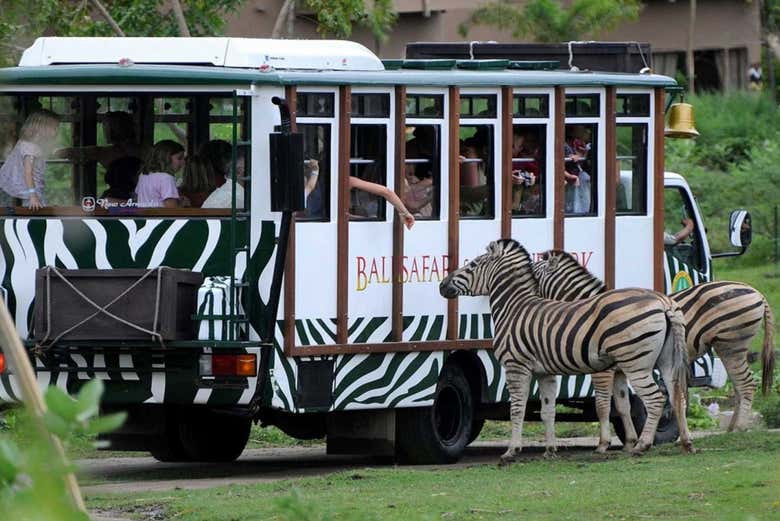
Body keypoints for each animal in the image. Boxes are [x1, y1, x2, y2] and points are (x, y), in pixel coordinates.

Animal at [438, 238, 696, 462]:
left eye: (472, 265)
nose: (442, 285)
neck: (514, 307)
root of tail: (664, 302)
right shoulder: (546, 373)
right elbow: (549, 411)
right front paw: (550, 450)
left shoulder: (516, 367)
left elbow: (518, 409)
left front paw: (511, 452)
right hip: (665, 362)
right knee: (677, 396)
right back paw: (685, 443)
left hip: (636, 362)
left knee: (655, 399)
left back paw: (643, 446)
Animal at [532, 248, 772, 438]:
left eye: (532, 275)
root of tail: (757, 292)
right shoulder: (619, 370)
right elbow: (622, 406)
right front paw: (630, 439)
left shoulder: (603, 370)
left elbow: (603, 406)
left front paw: (608, 443)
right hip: (727, 348)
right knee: (739, 386)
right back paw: (731, 428)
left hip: (732, 345)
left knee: (746, 384)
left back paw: (739, 428)